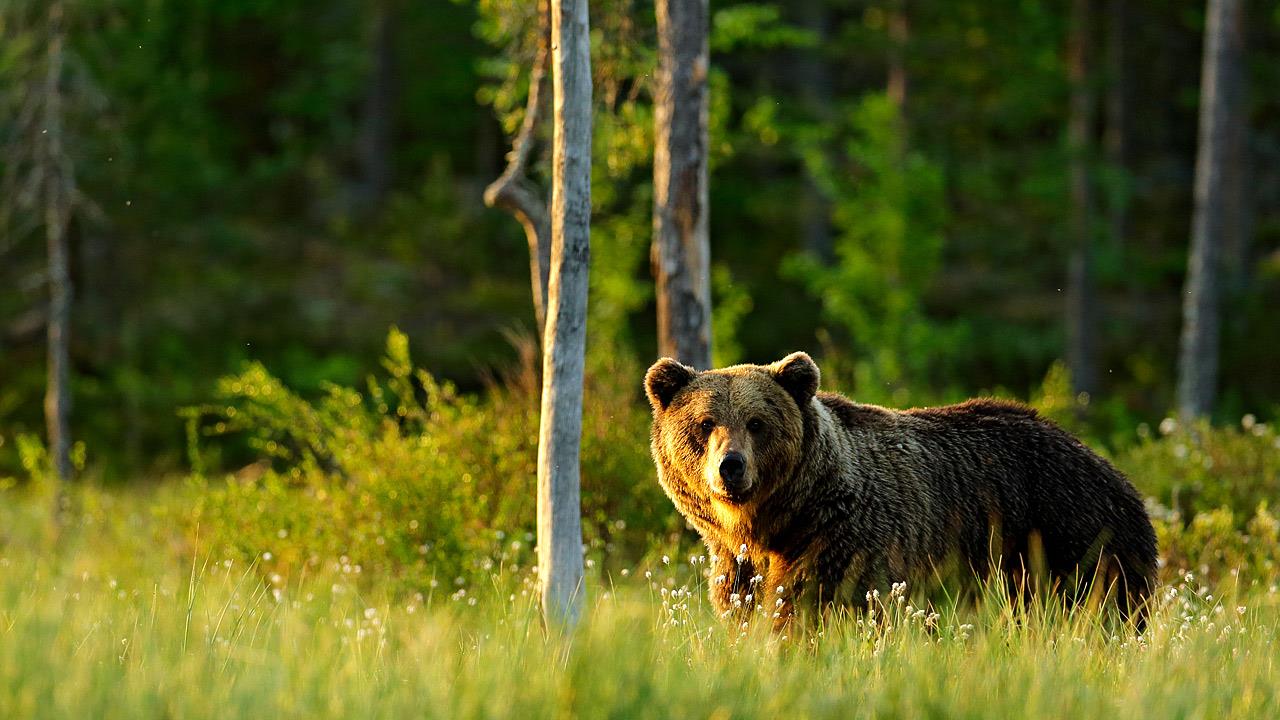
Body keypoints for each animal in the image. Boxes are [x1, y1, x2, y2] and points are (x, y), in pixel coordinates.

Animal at [645, 351, 1157, 625]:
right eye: (704, 423)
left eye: (756, 423)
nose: (730, 467)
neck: (780, 522)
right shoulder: (738, 565)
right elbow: (744, 607)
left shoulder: (845, 542)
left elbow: (812, 608)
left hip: (1071, 539)